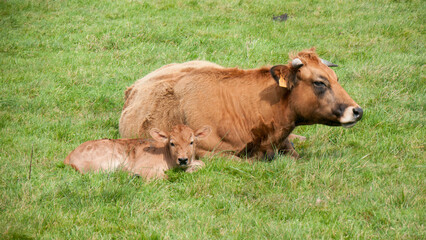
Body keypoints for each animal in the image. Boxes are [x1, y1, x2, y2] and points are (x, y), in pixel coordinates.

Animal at [64, 124, 212, 179]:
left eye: (191, 142)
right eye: (172, 143)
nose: (182, 159)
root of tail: (69, 156)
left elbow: (202, 164)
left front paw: (190, 170)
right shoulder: (145, 168)